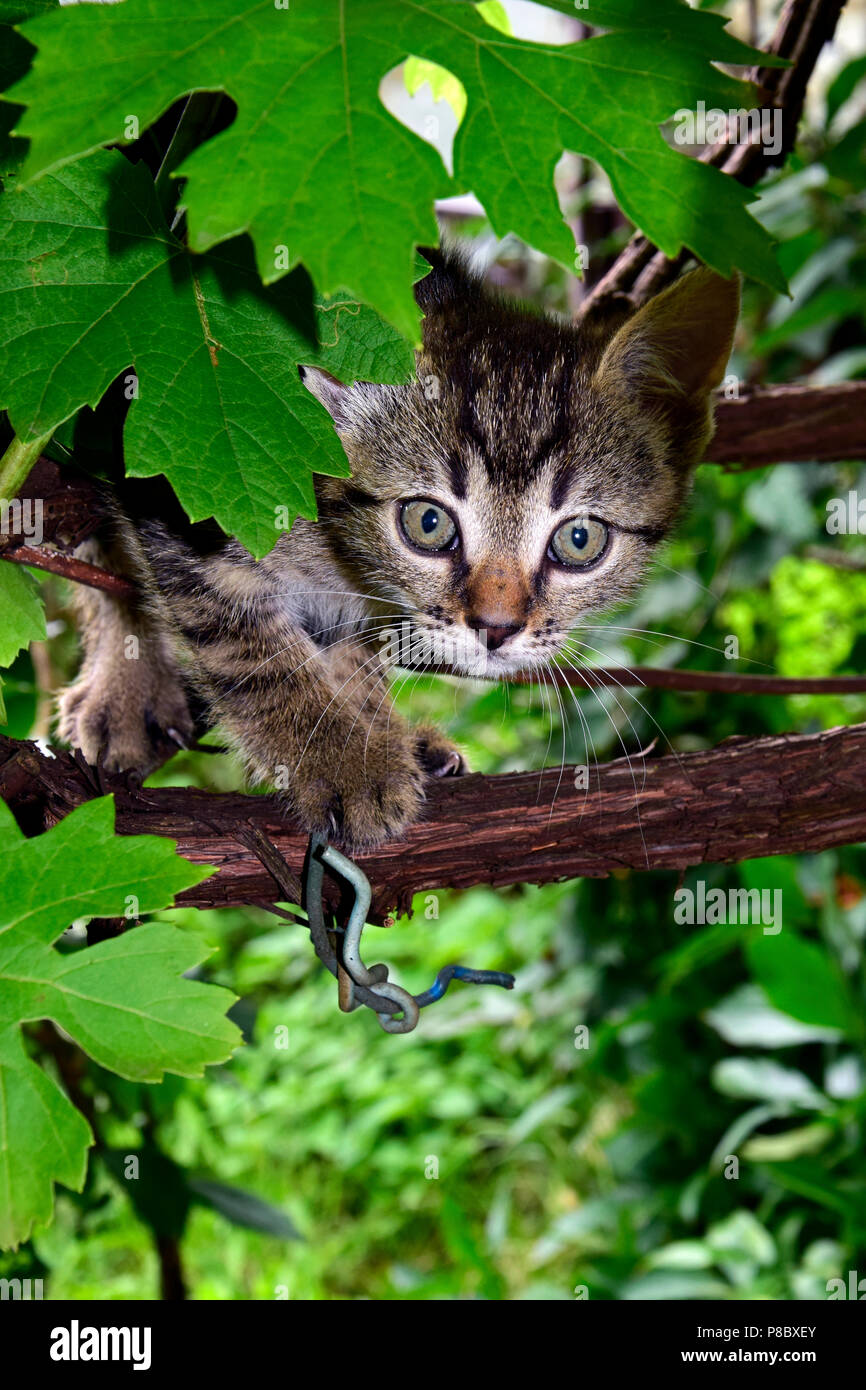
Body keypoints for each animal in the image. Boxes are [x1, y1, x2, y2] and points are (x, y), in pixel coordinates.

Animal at [59, 248, 739, 845]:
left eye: (579, 539)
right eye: (428, 523)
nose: (496, 628)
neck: (329, 542)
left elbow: (346, 652)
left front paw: (378, 731)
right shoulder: (194, 497)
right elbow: (254, 653)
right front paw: (343, 763)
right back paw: (124, 690)